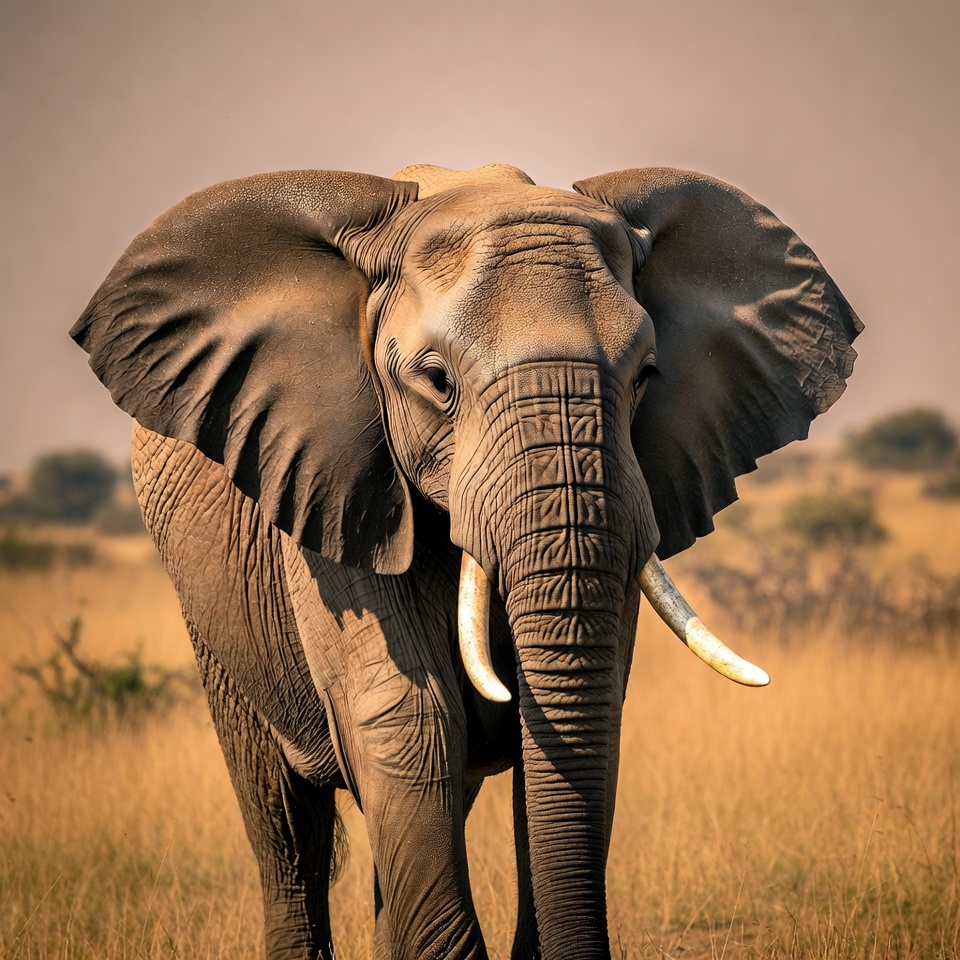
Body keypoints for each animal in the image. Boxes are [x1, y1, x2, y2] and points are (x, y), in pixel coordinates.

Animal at [71, 162, 860, 960]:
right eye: (437, 381)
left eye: (646, 374)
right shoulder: (335, 479)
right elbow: (411, 720)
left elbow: (584, 715)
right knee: (285, 824)